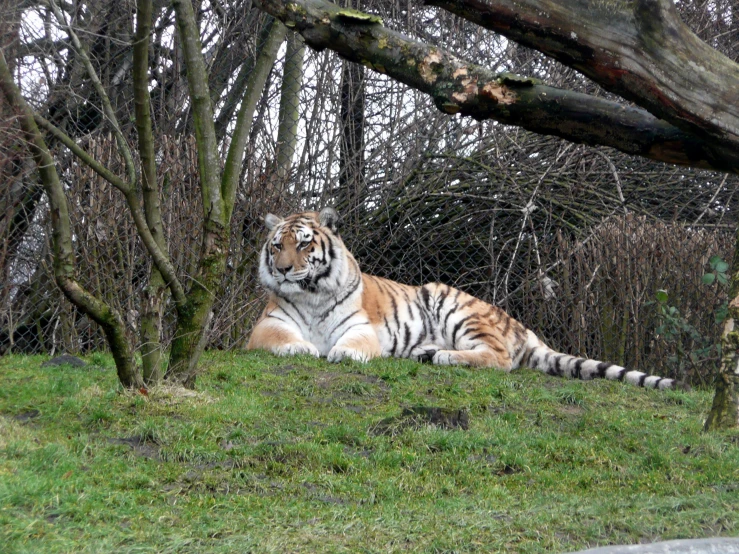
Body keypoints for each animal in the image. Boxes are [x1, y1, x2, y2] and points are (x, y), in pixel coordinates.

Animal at [247, 207, 676, 388]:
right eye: (277, 245)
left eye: (305, 244)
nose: (283, 269)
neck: (312, 294)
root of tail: (525, 329)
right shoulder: (266, 327)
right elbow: (285, 341)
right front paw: (304, 348)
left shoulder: (361, 328)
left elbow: (352, 344)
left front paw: (340, 353)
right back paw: (428, 354)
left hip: (455, 307)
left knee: (499, 359)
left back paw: (442, 356)